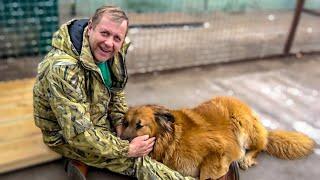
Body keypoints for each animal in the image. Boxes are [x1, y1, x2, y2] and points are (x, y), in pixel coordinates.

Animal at [120, 96, 316, 179]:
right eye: (125, 123)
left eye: (140, 125)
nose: (123, 144)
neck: (170, 141)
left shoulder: (221, 149)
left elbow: (208, 173)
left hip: (242, 123)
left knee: (261, 145)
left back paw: (247, 158)